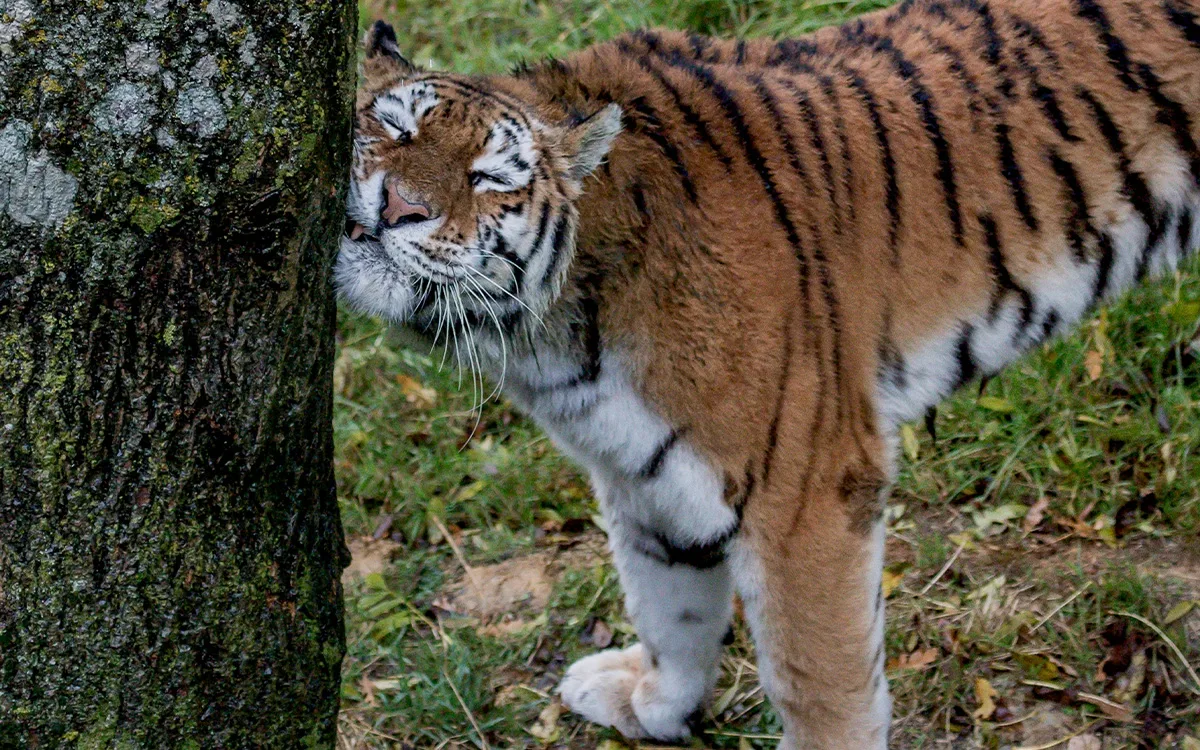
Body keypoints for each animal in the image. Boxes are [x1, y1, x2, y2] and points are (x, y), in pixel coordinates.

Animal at [335, 1, 1200, 746]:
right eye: (392, 125)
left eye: (488, 177)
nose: (399, 206)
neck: (555, 332)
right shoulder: (639, 472)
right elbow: (671, 609)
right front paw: (653, 703)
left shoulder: (805, 492)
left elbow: (819, 679)